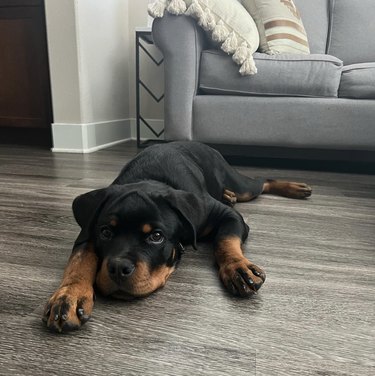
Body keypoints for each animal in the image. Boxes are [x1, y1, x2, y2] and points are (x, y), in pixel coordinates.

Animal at [42, 141, 312, 332]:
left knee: (261, 181)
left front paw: (238, 268)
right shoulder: (87, 230)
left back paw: (295, 188)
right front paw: (69, 296)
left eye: (156, 237)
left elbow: (225, 241)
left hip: (240, 184)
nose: (118, 267)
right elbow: (81, 259)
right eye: (106, 232)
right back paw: (231, 195)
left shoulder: (228, 217)